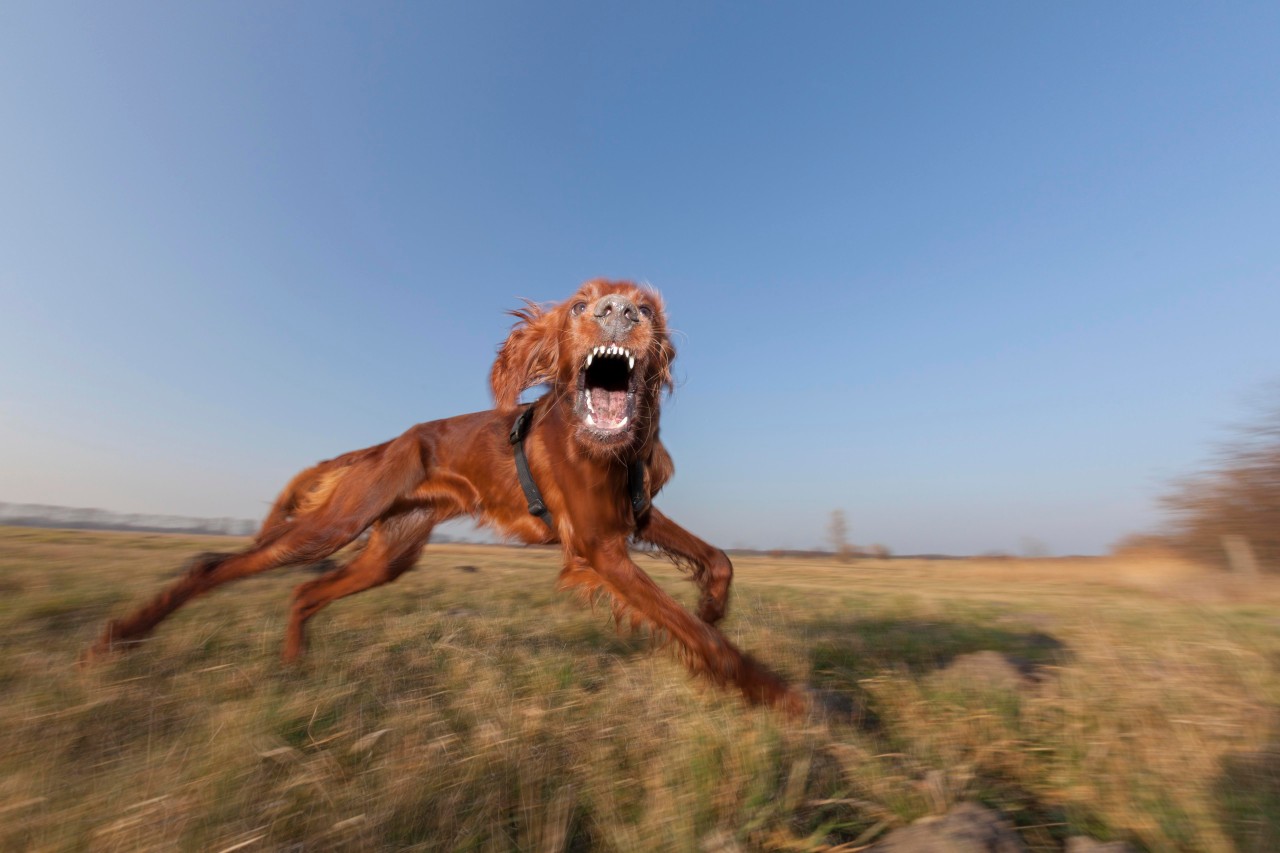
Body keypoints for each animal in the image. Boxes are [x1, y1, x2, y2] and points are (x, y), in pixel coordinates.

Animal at [90, 279, 803, 712]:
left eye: (647, 308)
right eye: (581, 305)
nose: (620, 314)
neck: (605, 442)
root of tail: (386, 445)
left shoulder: (635, 514)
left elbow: (718, 560)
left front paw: (713, 604)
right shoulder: (600, 547)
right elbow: (697, 635)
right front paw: (774, 693)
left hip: (390, 555)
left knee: (305, 592)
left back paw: (295, 668)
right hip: (333, 526)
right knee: (216, 566)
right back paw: (119, 639)